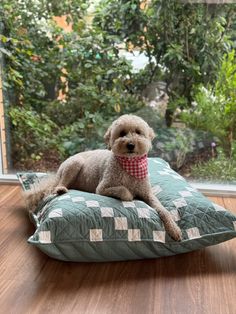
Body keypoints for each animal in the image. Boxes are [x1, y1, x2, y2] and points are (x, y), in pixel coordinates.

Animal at [24, 114, 182, 240]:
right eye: (122, 133)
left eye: (138, 132)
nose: (131, 144)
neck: (130, 165)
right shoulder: (103, 188)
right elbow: (124, 191)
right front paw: (130, 194)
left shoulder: (148, 194)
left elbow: (163, 210)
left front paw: (174, 229)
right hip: (74, 164)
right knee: (60, 184)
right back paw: (61, 189)